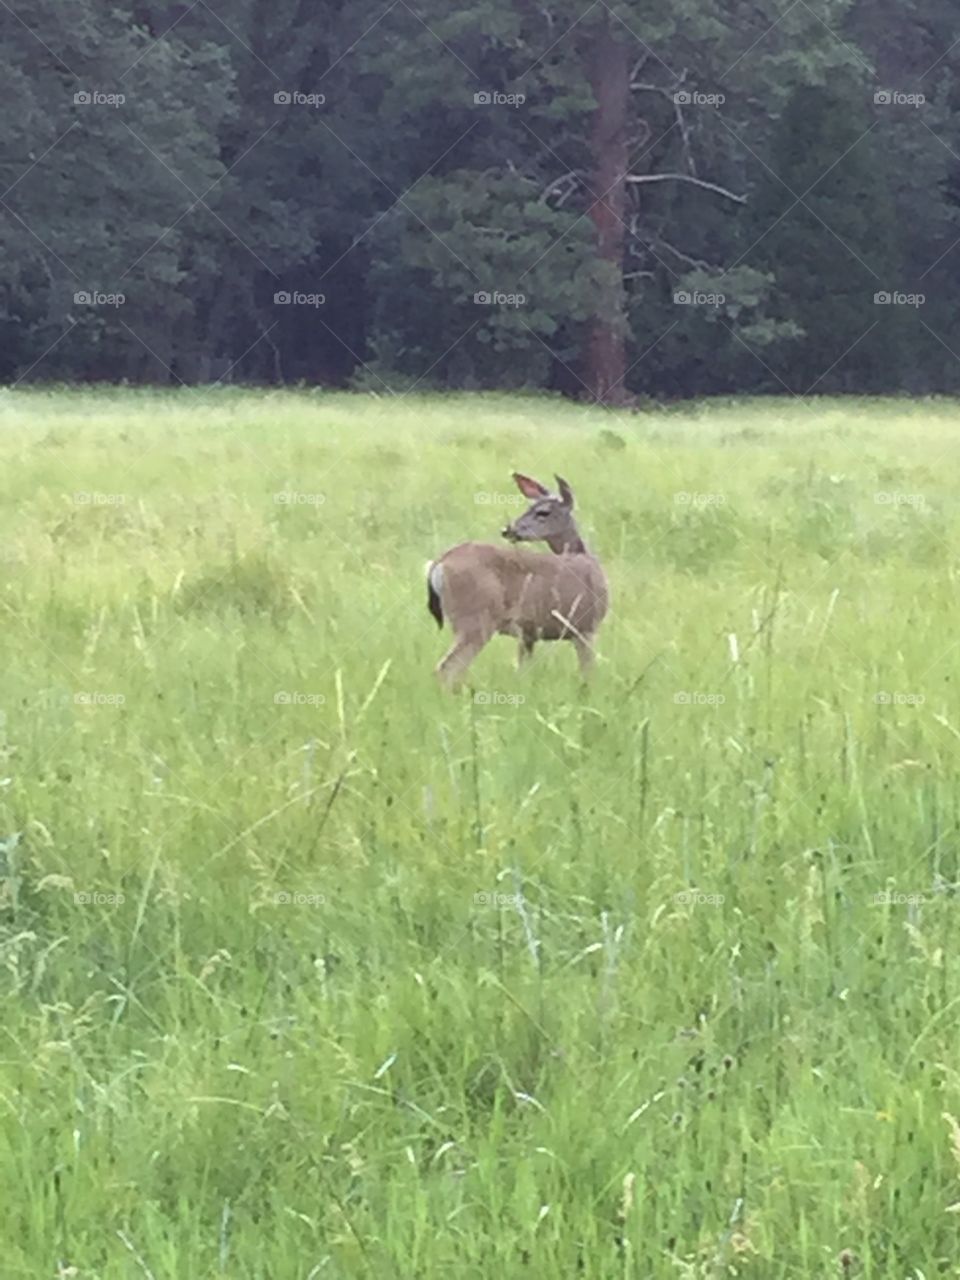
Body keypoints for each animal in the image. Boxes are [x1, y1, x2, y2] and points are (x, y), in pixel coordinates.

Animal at [427, 473, 609, 691]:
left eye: (542, 512)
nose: (508, 530)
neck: (584, 557)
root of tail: (440, 563)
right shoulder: (586, 627)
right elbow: (588, 674)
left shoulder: (527, 635)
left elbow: (523, 672)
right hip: (475, 620)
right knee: (447, 668)